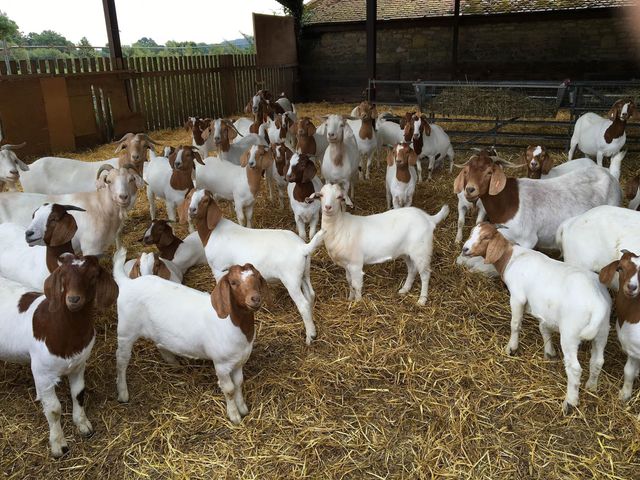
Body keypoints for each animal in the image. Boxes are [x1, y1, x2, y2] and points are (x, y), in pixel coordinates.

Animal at [0, 253, 117, 457]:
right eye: (63, 275)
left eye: (93, 276)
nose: (74, 299)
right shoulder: (42, 373)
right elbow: (54, 409)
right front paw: (59, 445)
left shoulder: (79, 364)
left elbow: (78, 394)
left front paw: (83, 425)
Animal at [188, 190, 323, 344]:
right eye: (189, 196)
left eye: (205, 200)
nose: (191, 210)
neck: (211, 232)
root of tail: (302, 248)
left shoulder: (218, 269)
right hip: (304, 273)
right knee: (310, 295)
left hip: (291, 279)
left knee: (303, 305)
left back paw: (310, 337)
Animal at [308, 183, 449, 305]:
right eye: (321, 195)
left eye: (339, 197)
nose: (328, 207)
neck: (340, 227)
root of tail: (429, 218)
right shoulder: (346, 265)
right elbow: (349, 282)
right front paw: (350, 299)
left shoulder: (355, 264)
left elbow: (356, 285)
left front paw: (358, 303)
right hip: (408, 253)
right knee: (412, 269)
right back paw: (404, 289)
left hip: (422, 251)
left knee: (425, 274)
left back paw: (422, 300)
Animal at [461, 222, 610, 414]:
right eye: (472, 232)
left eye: (486, 237)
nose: (465, 249)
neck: (512, 258)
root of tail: (597, 304)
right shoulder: (543, 310)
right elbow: (543, 329)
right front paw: (549, 352)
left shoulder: (517, 296)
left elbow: (515, 324)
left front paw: (511, 348)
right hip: (603, 331)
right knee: (598, 361)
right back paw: (592, 386)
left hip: (570, 333)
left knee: (575, 368)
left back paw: (570, 402)